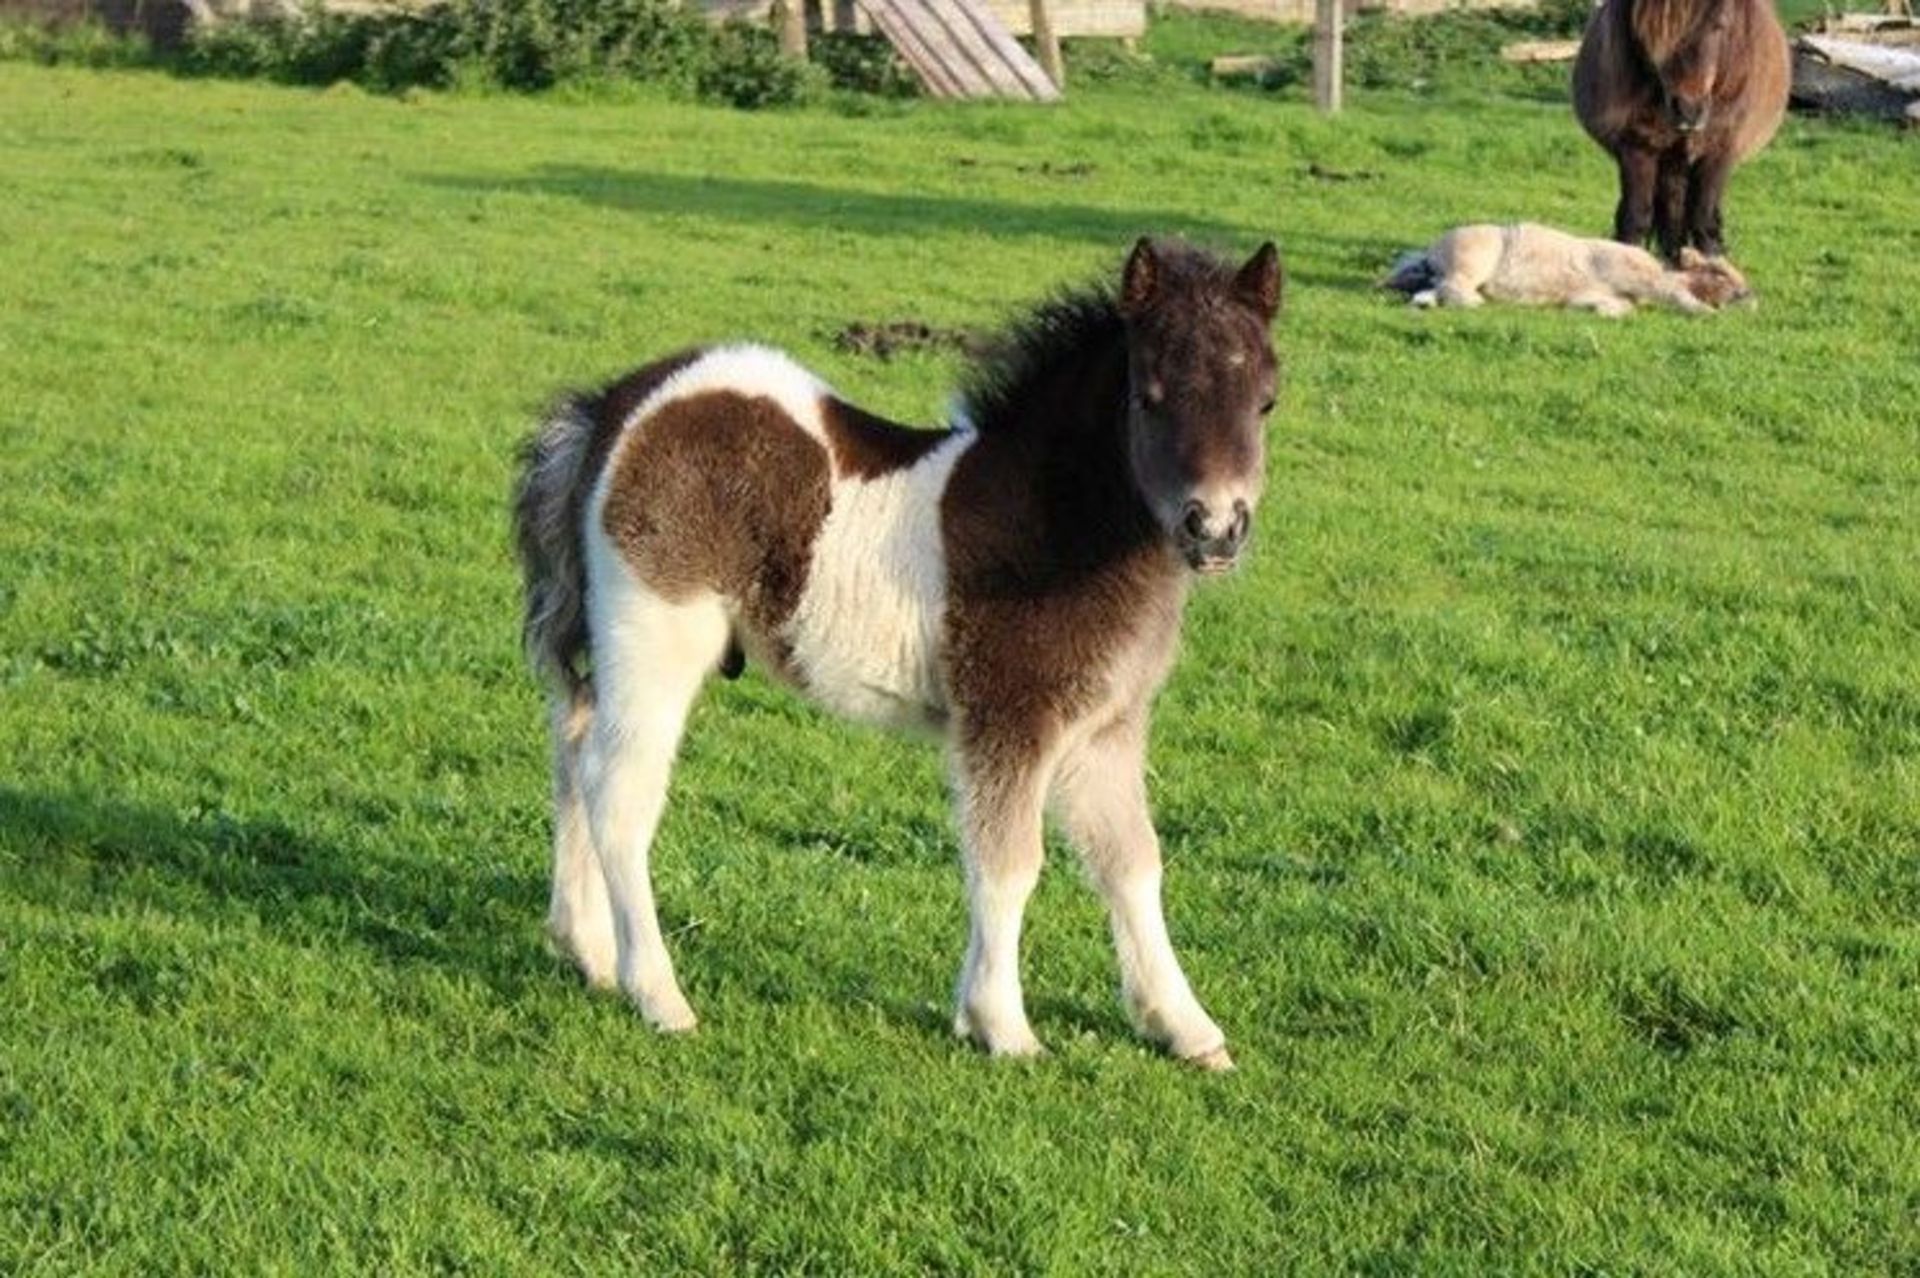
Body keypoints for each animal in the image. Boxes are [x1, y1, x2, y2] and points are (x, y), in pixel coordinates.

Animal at [518, 238, 1282, 1066]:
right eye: (1148, 396)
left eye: (1266, 401)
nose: (1215, 528)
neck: (1058, 521)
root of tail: (612, 409)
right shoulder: (1009, 717)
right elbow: (1009, 865)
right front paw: (1002, 1026)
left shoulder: (1105, 727)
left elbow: (1133, 863)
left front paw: (1183, 1027)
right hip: (653, 638)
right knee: (618, 792)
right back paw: (659, 995)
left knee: (572, 754)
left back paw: (588, 950)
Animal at [1582, 0, 1789, 262]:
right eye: (1646, 34)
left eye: (1719, 25)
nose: (1688, 110)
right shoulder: (1637, 147)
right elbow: (1635, 220)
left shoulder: (1719, 150)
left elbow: (1704, 223)